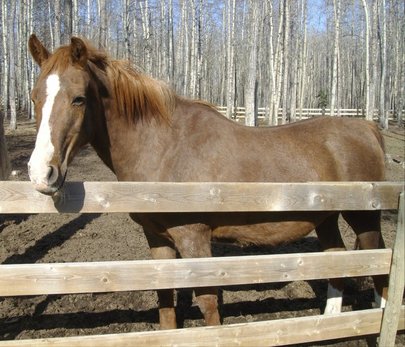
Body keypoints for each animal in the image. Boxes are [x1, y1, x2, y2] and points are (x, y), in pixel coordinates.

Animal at [26, 35, 386, 332]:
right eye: (34, 97)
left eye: (79, 99)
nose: (41, 173)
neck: (165, 147)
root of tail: (367, 128)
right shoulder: (157, 238)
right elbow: (165, 303)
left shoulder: (194, 238)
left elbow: (209, 304)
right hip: (326, 218)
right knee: (338, 263)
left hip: (364, 219)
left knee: (380, 269)